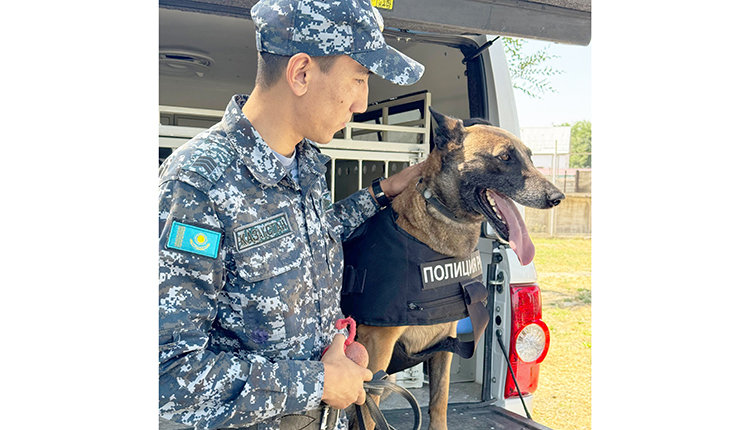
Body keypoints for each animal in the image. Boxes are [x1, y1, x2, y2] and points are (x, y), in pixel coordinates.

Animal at [340, 107, 564, 430]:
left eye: (531, 157)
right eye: (504, 157)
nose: (557, 197)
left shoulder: (445, 344)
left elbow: (439, 402)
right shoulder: (377, 349)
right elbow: (369, 419)